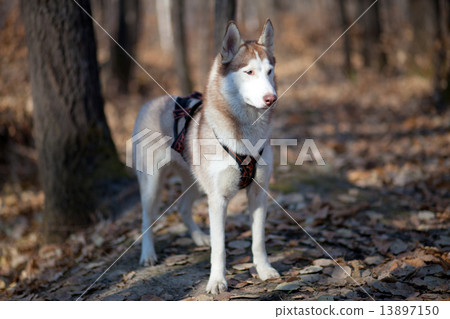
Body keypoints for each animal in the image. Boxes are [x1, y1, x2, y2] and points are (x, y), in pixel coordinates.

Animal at [132, 20, 280, 296]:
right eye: (248, 72)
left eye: (269, 71)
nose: (271, 98)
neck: (244, 134)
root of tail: (150, 102)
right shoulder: (218, 199)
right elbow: (220, 248)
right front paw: (217, 281)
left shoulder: (258, 193)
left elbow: (258, 240)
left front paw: (264, 269)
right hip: (152, 184)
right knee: (147, 217)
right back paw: (148, 254)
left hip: (195, 182)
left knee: (182, 206)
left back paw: (200, 237)